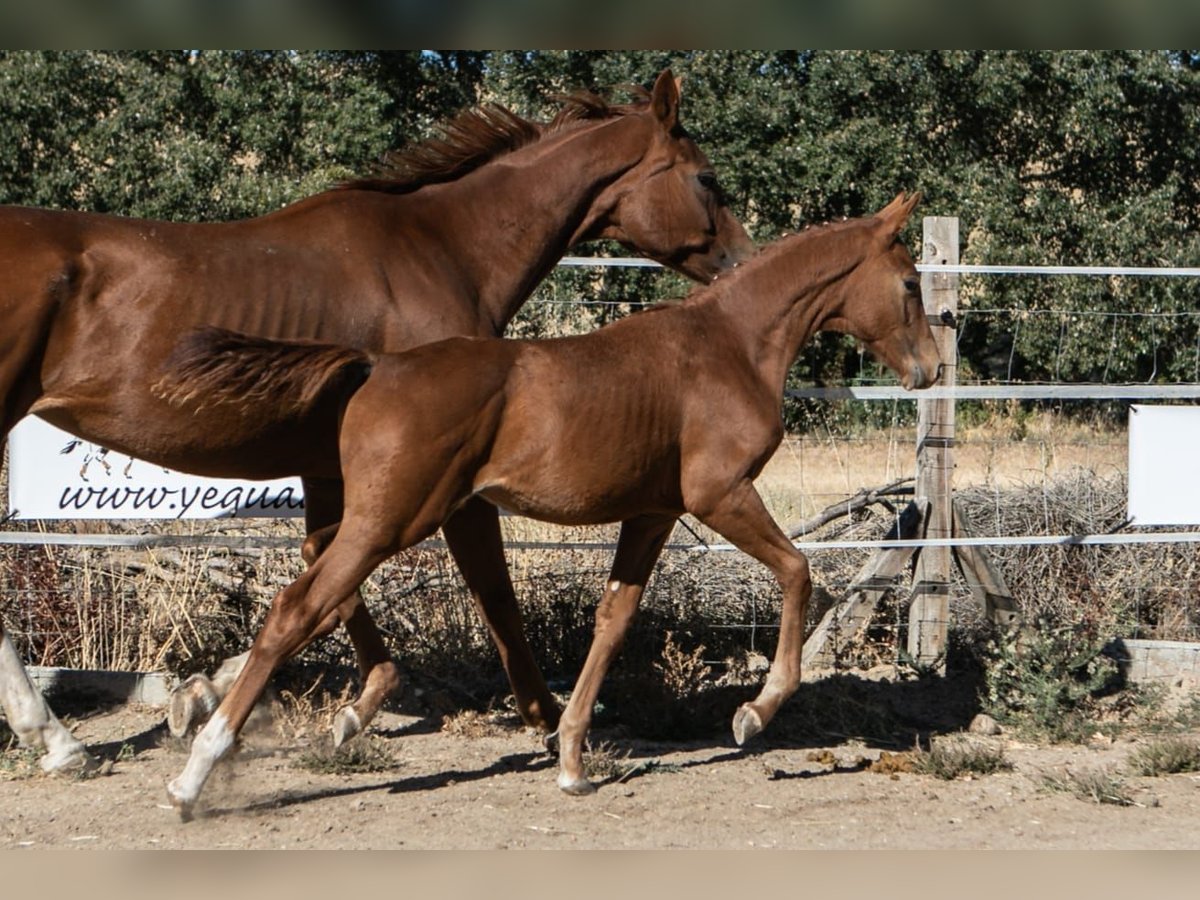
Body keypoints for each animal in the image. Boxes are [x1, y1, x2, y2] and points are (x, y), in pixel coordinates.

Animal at [0, 69, 753, 773]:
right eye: (706, 177)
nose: (742, 264)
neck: (441, 252)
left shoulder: (331, 468)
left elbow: (323, 566)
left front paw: (292, 698)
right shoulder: (452, 475)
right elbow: (491, 589)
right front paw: (544, 718)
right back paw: (58, 742)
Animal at [157, 192, 940, 817]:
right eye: (909, 281)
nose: (931, 369)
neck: (733, 346)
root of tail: (378, 366)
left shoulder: (652, 513)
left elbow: (613, 621)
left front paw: (570, 762)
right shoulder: (720, 494)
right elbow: (798, 572)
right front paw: (755, 711)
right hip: (391, 520)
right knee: (295, 608)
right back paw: (196, 775)